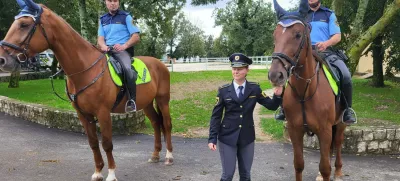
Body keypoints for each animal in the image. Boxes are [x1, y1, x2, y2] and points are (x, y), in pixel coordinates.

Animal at [0, 0, 172, 180]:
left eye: (24, 24)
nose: (3, 59)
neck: (85, 69)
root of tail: (160, 64)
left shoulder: (103, 113)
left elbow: (107, 143)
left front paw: (111, 173)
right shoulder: (83, 114)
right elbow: (93, 143)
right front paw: (98, 172)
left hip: (163, 100)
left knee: (166, 124)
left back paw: (168, 156)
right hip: (146, 103)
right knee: (156, 123)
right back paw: (155, 155)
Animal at [268, 0, 346, 181]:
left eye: (297, 35)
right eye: (275, 36)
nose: (275, 75)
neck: (306, 91)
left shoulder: (325, 131)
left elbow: (325, 168)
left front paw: (329, 172)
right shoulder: (295, 130)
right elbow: (299, 164)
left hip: (340, 123)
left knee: (338, 143)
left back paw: (338, 171)